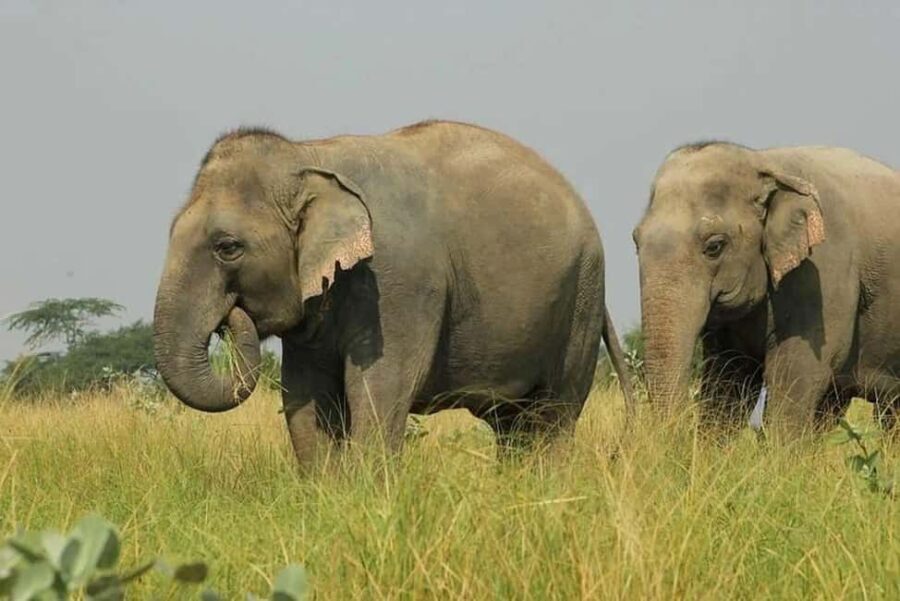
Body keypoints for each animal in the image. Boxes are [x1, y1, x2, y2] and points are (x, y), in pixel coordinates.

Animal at [153, 120, 635, 465]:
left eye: (227, 247)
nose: (230, 317)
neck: (309, 155)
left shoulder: (397, 283)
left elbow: (379, 390)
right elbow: (306, 401)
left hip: (582, 296)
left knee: (553, 417)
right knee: (512, 426)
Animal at [634, 141, 900, 438]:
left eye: (714, 246)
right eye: (635, 241)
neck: (764, 163)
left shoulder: (823, 272)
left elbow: (796, 374)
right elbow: (727, 379)